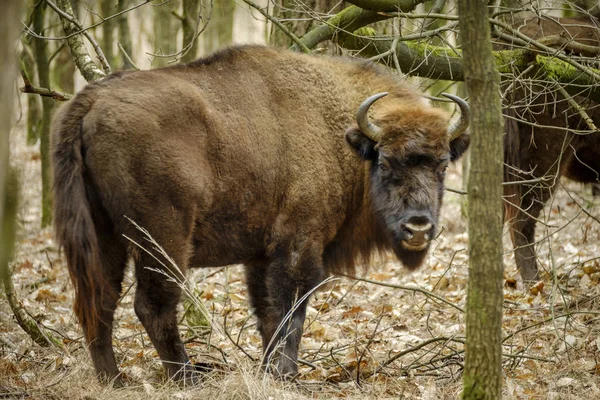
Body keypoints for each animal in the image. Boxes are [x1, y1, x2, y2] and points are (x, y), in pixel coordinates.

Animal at [51, 44, 468, 384]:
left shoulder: (261, 256)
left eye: (442, 165)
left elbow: (266, 313)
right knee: (153, 304)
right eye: (384, 163)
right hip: (163, 236)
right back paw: (187, 378)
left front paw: (269, 370)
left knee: (99, 299)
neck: (342, 135)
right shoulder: (300, 244)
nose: (418, 227)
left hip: (102, 235)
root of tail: (90, 100)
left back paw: (114, 380)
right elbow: (290, 310)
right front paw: (285, 374)